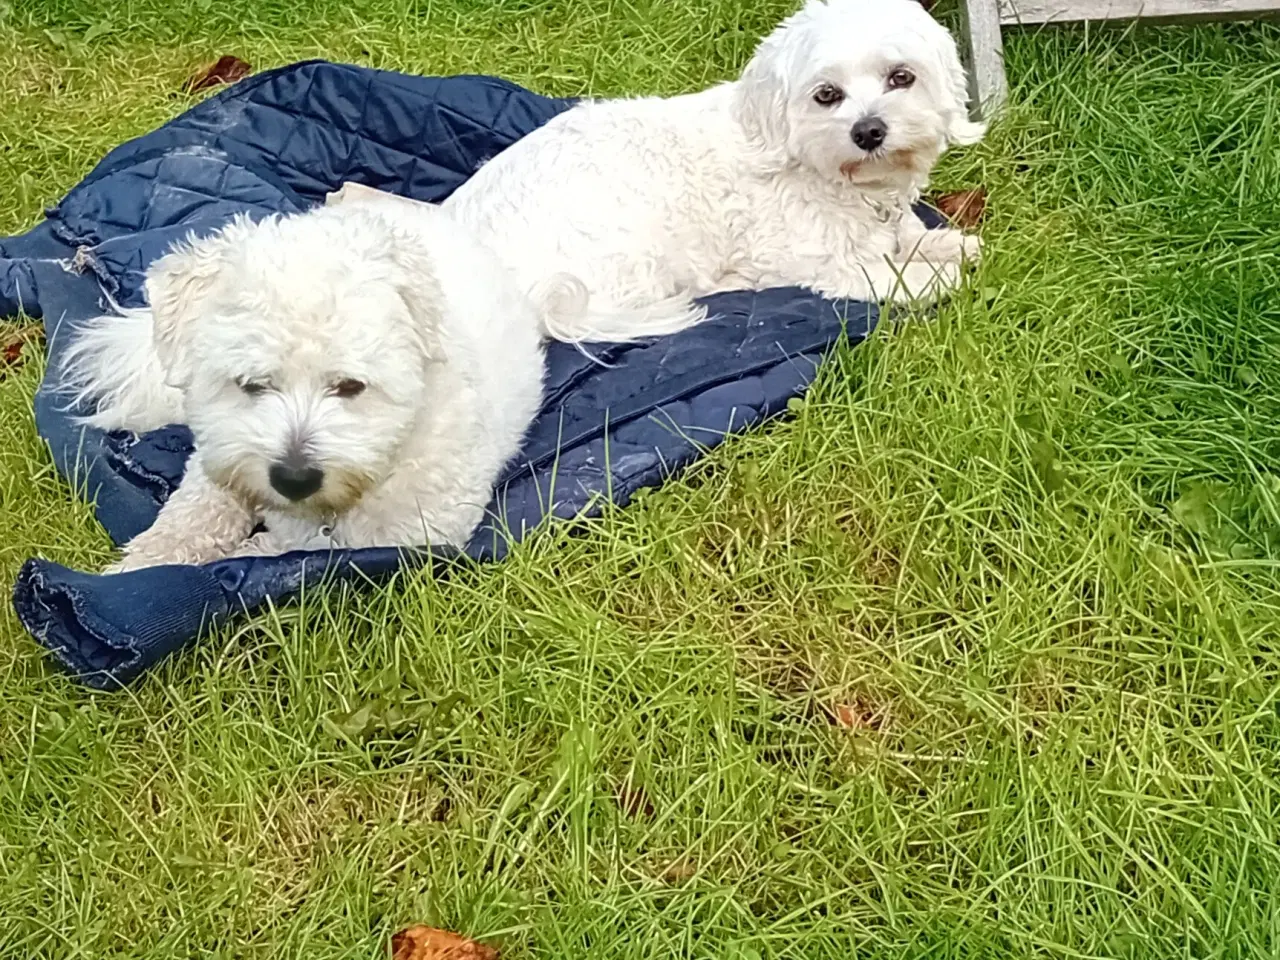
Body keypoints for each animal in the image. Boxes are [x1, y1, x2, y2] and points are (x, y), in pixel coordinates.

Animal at [61, 200, 550, 570]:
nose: (294, 478)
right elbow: (193, 513)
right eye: (250, 384)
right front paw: (143, 564)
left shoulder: (402, 536)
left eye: (350, 386)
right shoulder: (218, 454)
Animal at [424, 0, 983, 343]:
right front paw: (927, 275)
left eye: (901, 77)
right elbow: (870, 270)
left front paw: (942, 243)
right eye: (827, 95)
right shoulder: (806, 259)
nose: (869, 131)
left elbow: (910, 233)